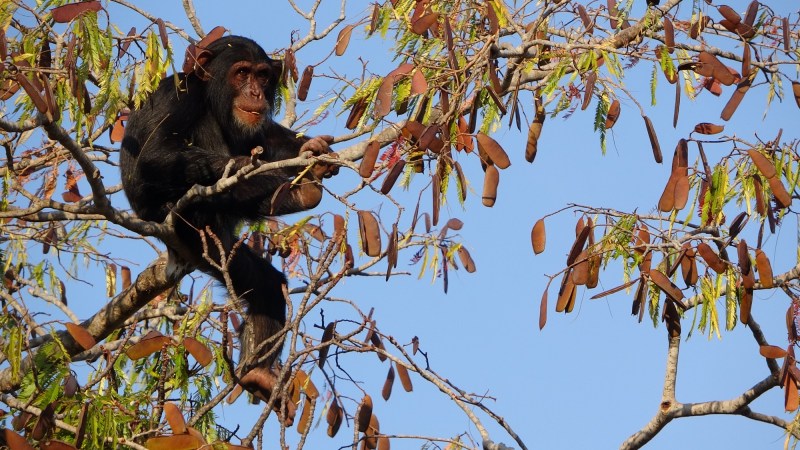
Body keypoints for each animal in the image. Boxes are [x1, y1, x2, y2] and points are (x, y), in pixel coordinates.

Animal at [119, 37, 334, 392]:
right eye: (242, 73)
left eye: (262, 76)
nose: (256, 92)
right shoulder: (180, 95)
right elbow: (154, 153)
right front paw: (245, 166)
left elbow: (265, 134)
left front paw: (313, 150)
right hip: (191, 232)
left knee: (266, 285)